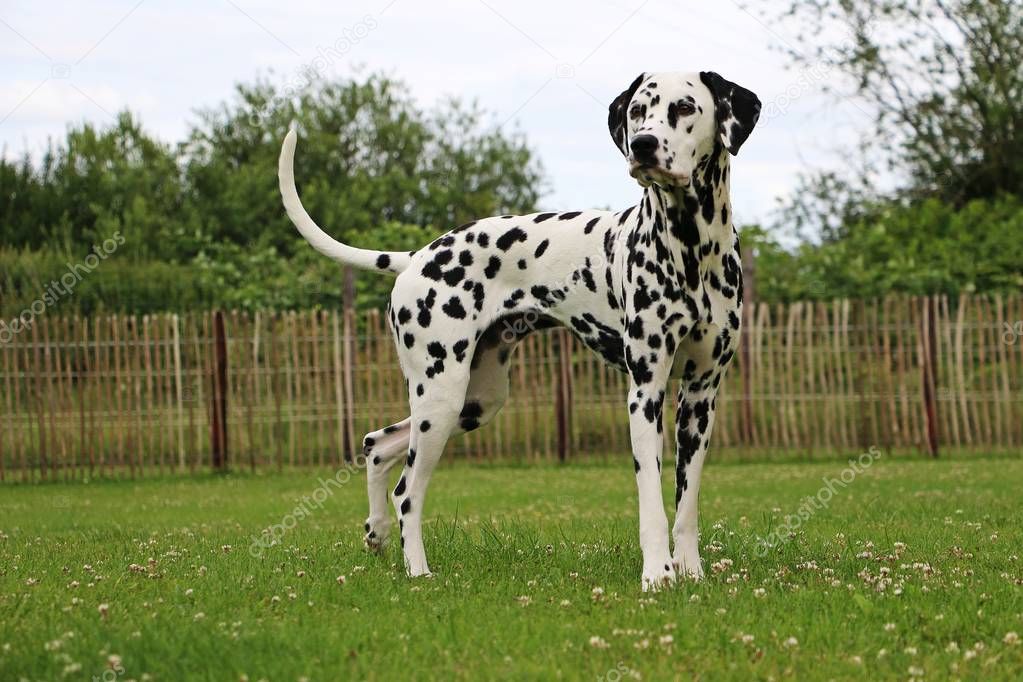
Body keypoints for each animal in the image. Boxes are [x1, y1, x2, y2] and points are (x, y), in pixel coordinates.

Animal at [280, 70, 761, 593]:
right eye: (638, 110)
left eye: (685, 108)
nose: (644, 144)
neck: (693, 249)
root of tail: (417, 256)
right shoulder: (645, 393)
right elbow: (652, 504)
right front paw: (657, 575)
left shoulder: (700, 396)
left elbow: (686, 504)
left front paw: (691, 572)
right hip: (441, 397)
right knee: (407, 491)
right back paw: (418, 570)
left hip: (474, 402)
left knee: (375, 445)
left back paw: (376, 533)